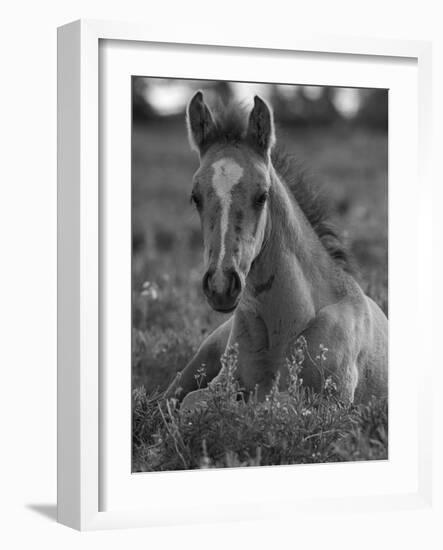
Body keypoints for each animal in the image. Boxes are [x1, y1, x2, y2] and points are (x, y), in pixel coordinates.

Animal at [165, 91, 386, 410]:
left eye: (262, 195)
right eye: (195, 197)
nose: (221, 285)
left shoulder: (331, 402)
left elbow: (268, 406)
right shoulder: (220, 384)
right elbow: (193, 404)